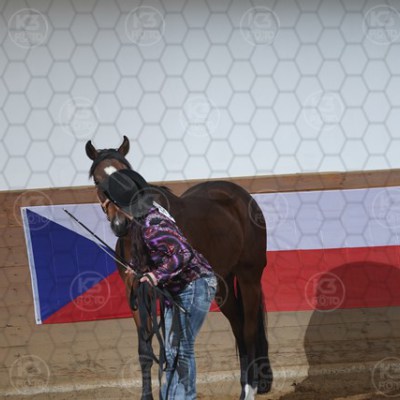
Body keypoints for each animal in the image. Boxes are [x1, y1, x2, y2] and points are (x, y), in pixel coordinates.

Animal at [85, 135, 272, 400]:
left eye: (126, 174)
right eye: (98, 179)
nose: (120, 223)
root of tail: (241, 196)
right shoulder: (137, 291)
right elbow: (145, 350)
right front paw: (147, 396)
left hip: (249, 277)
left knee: (249, 329)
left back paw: (250, 389)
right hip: (222, 285)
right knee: (238, 327)